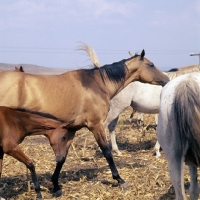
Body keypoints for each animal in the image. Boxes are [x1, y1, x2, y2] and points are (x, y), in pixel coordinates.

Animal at [0, 49, 169, 196]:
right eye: (151, 65)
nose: (167, 80)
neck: (96, 84)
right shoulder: (96, 125)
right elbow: (107, 152)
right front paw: (119, 179)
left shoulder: (70, 131)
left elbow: (62, 158)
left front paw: (56, 185)